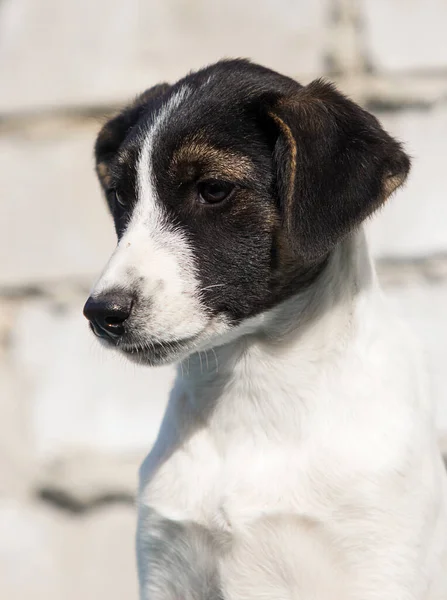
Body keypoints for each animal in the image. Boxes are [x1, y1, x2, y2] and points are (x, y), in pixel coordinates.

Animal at [84, 61, 447, 600]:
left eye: (214, 189)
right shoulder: (166, 568)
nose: (101, 313)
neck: (253, 394)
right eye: (121, 196)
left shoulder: (380, 563)